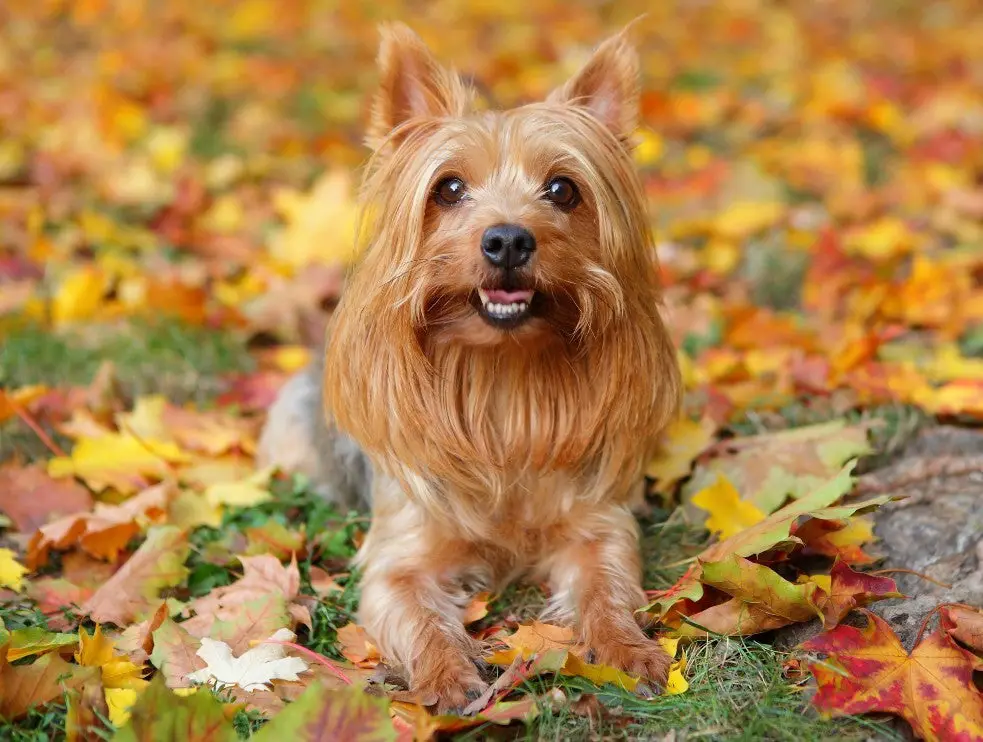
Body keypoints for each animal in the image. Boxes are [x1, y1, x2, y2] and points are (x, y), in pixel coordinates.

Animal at [258, 20, 680, 712]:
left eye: (563, 189)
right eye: (449, 188)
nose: (507, 239)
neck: (500, 376)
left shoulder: (596, 526)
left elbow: (607, 588)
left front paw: (629, 649)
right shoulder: (400, 555)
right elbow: (417, 613)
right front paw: (446, 675)